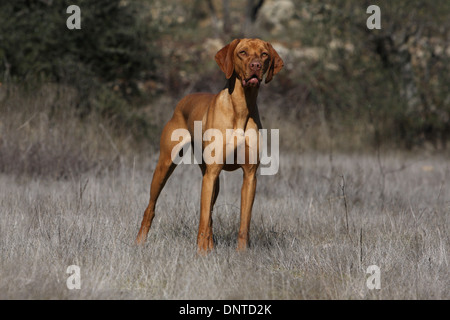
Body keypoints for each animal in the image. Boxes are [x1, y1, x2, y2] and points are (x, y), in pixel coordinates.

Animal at [135, 38, 284, 252]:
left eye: (264, 54)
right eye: (243, 52)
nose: (255, 66)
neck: (241, 107)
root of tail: (184, 99)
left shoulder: (249, 176)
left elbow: (244, 222)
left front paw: (241, 253)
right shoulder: (211, 174)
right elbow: (203, 220)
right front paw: (201, 253)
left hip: (212, 178)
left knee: (211, 214)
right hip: (166, 165)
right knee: (151, 207)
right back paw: (140, 242)